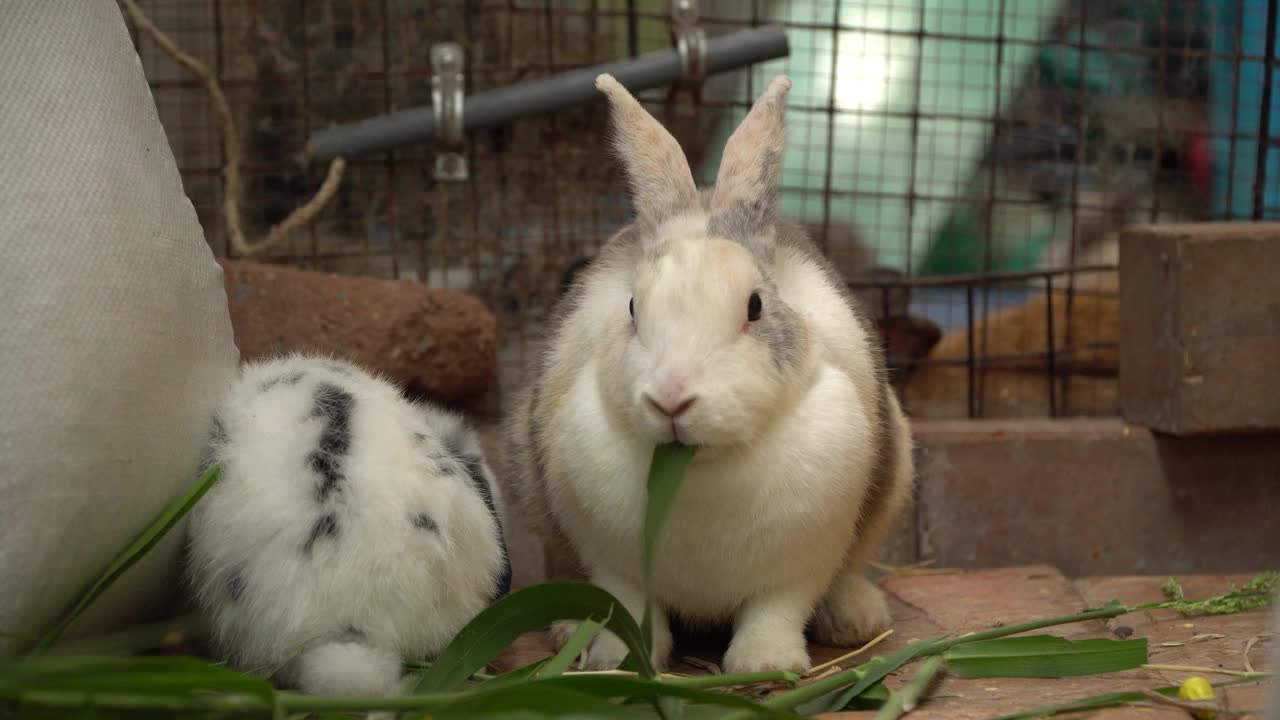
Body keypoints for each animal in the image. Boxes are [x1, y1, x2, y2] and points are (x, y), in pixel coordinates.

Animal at [504, 74, 916, 671]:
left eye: (755, 307)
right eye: (633, 309)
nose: (672, 400)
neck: (697, 469)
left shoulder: (798, 564)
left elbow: (775, 612)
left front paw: (766, 664)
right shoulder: (614, 563)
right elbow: (632, 609)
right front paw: (616, 660)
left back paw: (856, 616)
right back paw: (568, 631)